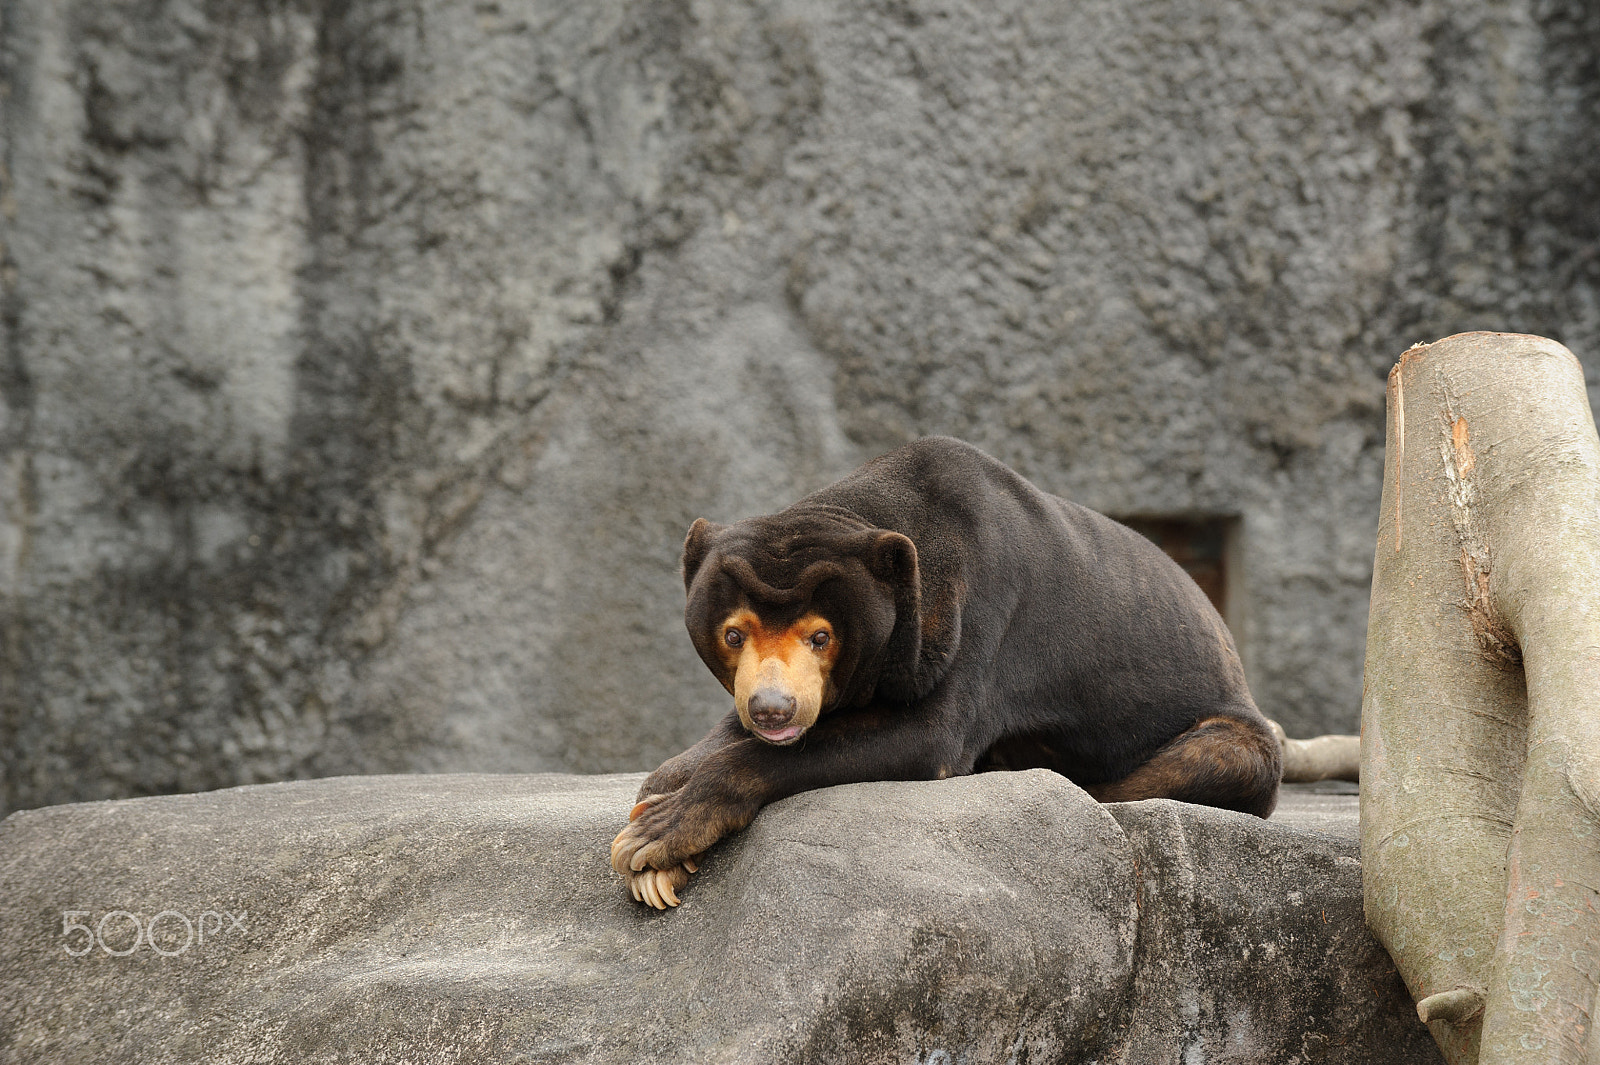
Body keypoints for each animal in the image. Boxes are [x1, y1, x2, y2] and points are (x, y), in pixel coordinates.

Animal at [612, 436, 1282, 908]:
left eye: (820, 636)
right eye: (734, 633)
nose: (774, 710)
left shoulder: (985, 616)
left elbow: (928, 735)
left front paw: (655, 838)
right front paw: (657, 829)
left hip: (1230, 733)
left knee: (1207, 762)